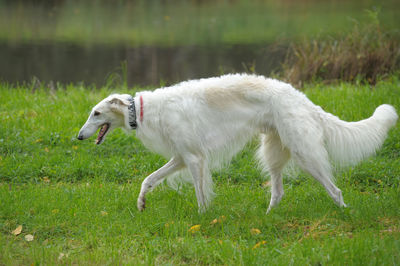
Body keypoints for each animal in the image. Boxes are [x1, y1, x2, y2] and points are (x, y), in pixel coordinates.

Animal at [77, 74, 396, 213]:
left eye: (96, 113)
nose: (78, 136)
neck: (142, 110)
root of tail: (302, 99)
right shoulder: (182, 157)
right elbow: (148, 180)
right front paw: (142, 203)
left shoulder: (194, 159)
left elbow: (200, 195)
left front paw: (202, 218)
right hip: (274, 152)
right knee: (278, 192)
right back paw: (268, 218)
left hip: (304, 153)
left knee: (335, 190)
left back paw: (344, 214)